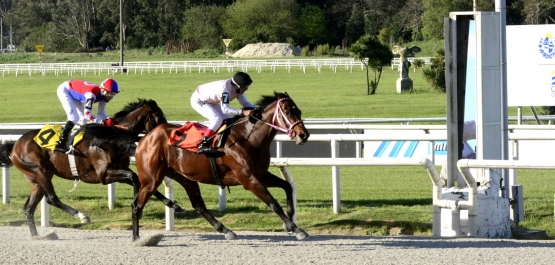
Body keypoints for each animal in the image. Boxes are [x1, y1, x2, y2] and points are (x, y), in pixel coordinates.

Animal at [0, 98, 185, 236]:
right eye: (160, 116)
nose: (171, 132)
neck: (112, 137)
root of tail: (15, 144)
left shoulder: (119, 170)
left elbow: (141, 182)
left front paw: (174, 205)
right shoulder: (104, 175)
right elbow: (135, 179)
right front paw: (137, 204)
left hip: (35, 179)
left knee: (28, 208)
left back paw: (37, 237)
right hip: (40, 171)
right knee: (51, 198)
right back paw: (82, 216)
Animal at [132, 91, 310, 241]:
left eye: (299, 111)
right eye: (287, 112)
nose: (304, 135)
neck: (248, 138)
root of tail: (145, 138)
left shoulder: (260, 174)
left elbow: (287, 186)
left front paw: (291, 221)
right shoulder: (248, 178)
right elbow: (273, 203)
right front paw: (295, 228)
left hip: (185, 177)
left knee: (199, 206)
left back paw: (226, 230)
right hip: (151, 179)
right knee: (136, 205)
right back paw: (136, 237)